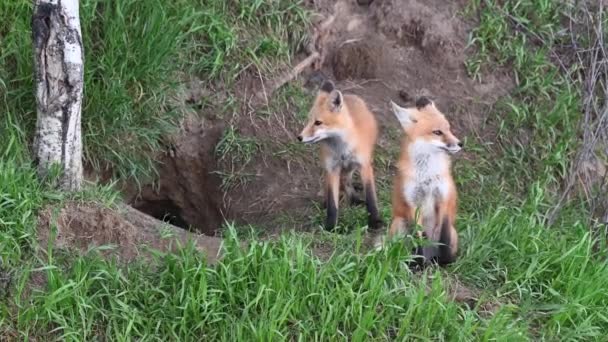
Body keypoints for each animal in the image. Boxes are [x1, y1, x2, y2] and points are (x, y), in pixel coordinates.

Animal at [296, 79, 382, 231]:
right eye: (308, 120)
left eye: (318, 122)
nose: (299, 137)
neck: (342, 150)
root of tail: (351, 96)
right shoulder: (332, 168)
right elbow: (332, 203)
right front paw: (331, 226)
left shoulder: (364, 165)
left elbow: (371, 197)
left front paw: (374, 221)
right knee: (341, 182)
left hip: (353, 165)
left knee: (347, 180)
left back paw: (354, 199)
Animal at [390, 97, 460, 266]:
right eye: (437, 132)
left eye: (449, 129)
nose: (460, 143)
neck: (427, 176)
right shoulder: (412, 204)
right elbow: (418, 238)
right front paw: (418, 264)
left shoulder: (443, 199)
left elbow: (443, 237)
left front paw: (445, 261)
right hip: (399, 223)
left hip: (454, 231)